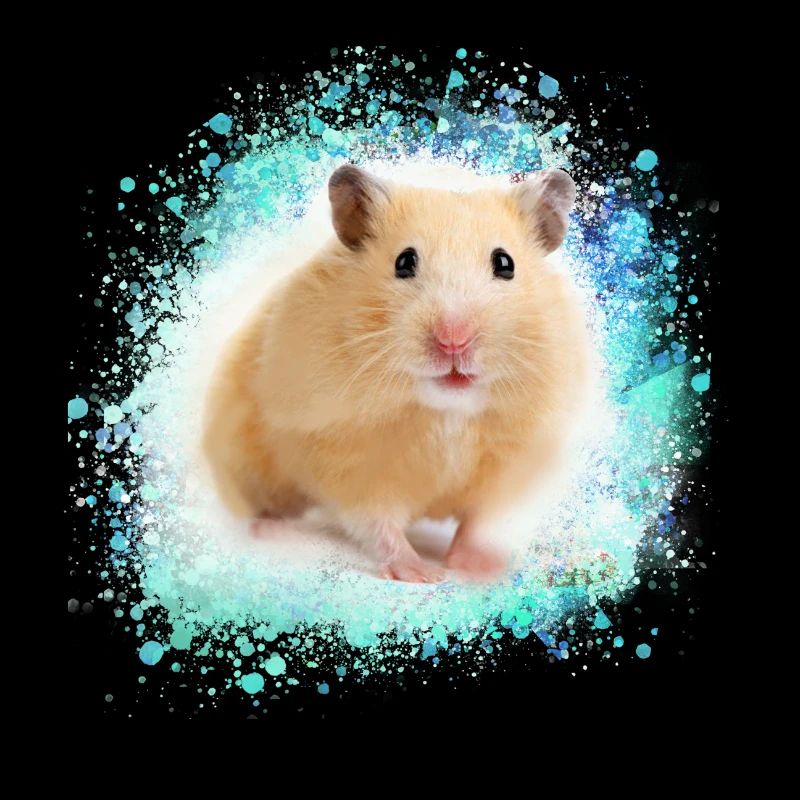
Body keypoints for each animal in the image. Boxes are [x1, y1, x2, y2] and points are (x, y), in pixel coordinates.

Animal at [202, 163, 592, 583]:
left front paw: (481, 568)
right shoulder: (344, 457)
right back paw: (272, 530)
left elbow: (478, 522)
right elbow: (378, 522)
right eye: (404, 262)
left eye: (505, 264)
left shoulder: (509, 462)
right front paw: (423, 574)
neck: (446, 410)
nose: (453, 340)